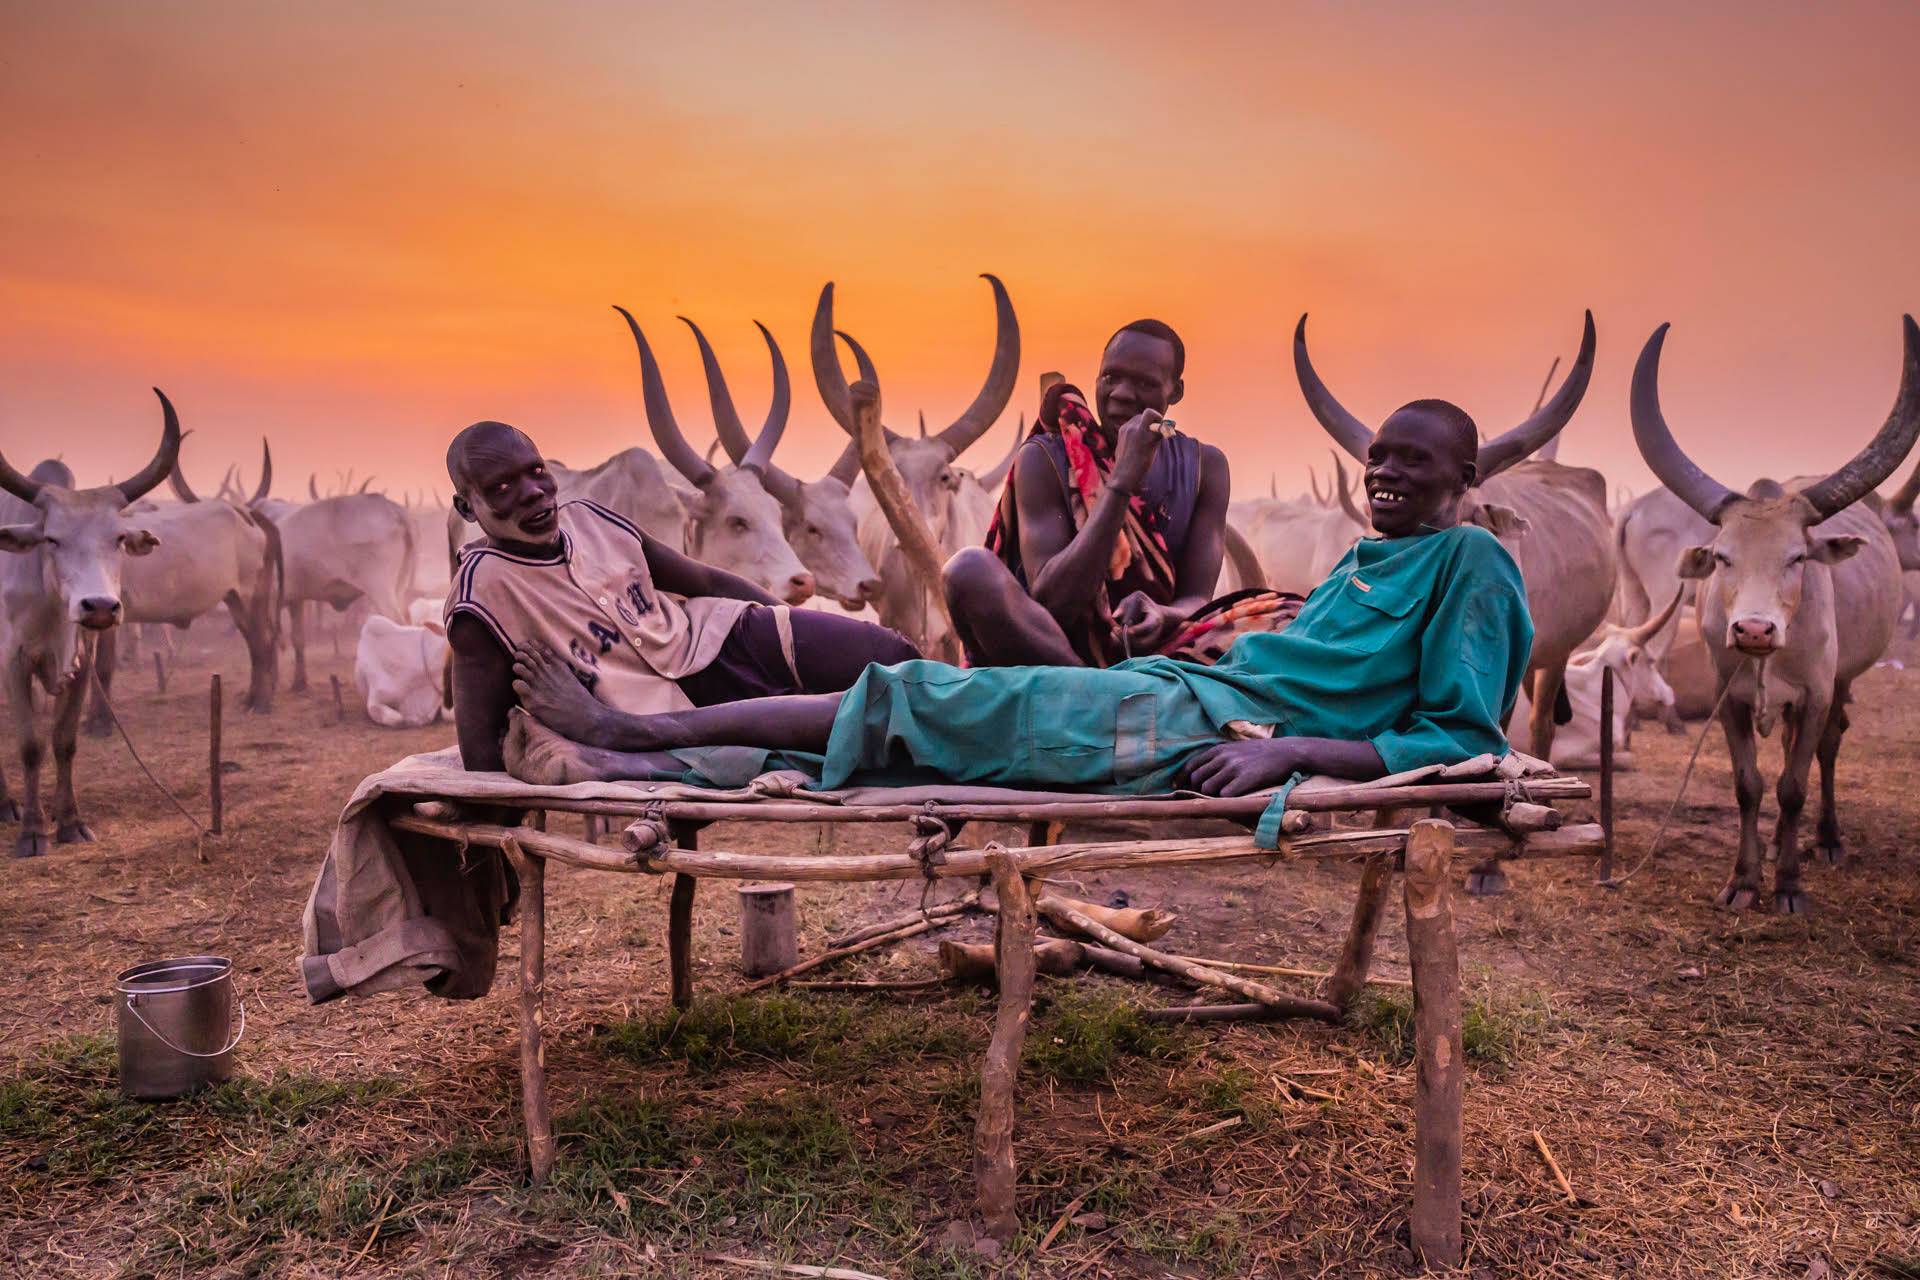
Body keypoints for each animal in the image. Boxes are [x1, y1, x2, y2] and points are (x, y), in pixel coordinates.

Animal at [0, 395, 180, 855]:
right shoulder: (13, 663)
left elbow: (65, 741)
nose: (99, 606)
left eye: (118, 538)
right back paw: (5, 805)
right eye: (52, 539)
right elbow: (30, 745)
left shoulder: (81, 663)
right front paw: (32, 831)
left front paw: (69, 822)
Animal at [1620, 312, 1920, 909]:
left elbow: (1794, 785)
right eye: (1722, 556)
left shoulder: (1816, 692)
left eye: (1797, 556)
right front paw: (1743, 880)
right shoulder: (1728, 698)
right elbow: (1749, 785)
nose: (1754, 631)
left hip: (1841, 680)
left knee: (1829, 744)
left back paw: (1825, 840)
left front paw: (1787, 885)